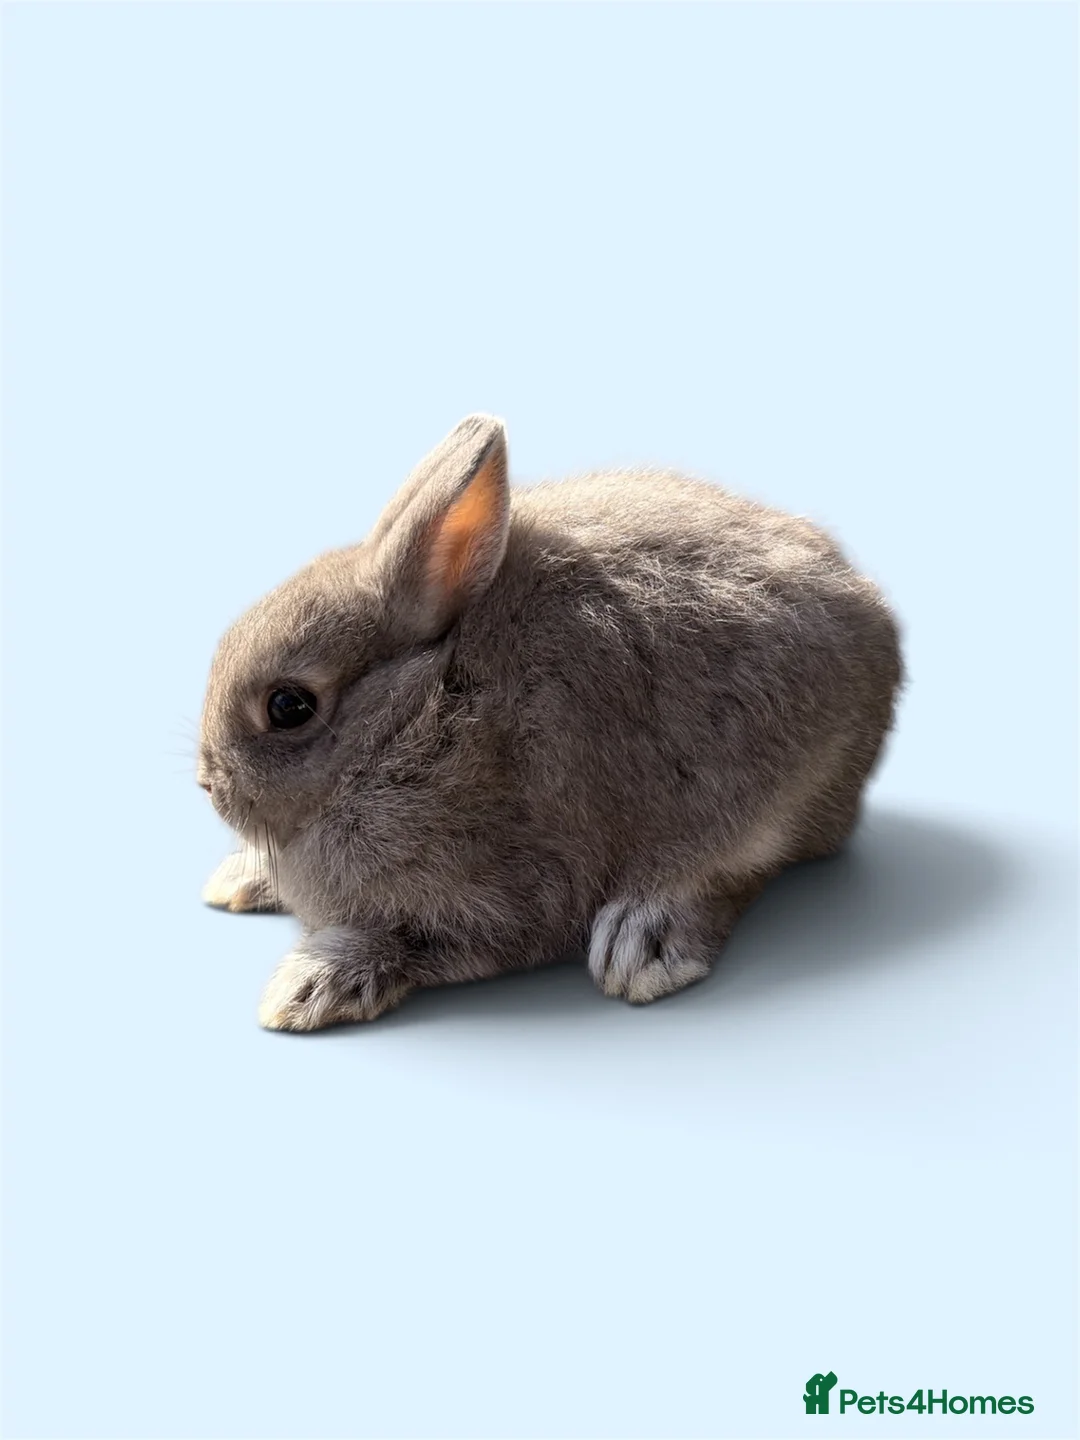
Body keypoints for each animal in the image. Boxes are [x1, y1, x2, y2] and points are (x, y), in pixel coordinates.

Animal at [198, 415, 902, 1031]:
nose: (210, 785)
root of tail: (873, 621)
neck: (413, 717)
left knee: (733, 866)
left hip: (771, 794)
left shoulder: (508, 898)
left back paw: (642, 943)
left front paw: (306, 989)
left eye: (289, 706)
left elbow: (412, 944)